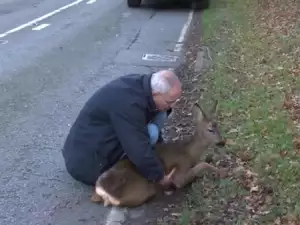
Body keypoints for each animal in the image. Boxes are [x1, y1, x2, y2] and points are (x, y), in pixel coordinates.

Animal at [91, 101, 227, 207]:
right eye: (210, 129)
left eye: (218, 127)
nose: (222, 142)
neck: (190, 152)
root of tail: (99, 190)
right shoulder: (180, 171)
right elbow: (201, 166)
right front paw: (221, 172)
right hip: (139, 189)